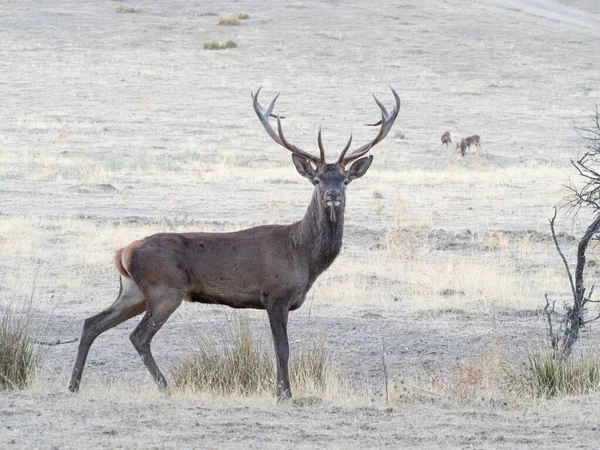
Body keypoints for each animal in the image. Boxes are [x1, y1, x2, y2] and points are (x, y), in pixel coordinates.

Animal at [68, 88, 400, 400]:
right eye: (317, 180)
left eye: (345, 179)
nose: (333, 195)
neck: (304, 256)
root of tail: (122, 253)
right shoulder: (275, 294)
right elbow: (282, 348)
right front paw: (284, 393)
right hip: (165, 290)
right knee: (138, 336)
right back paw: (165, 387)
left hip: (133, 291)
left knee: (91, 323)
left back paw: (74, 385)